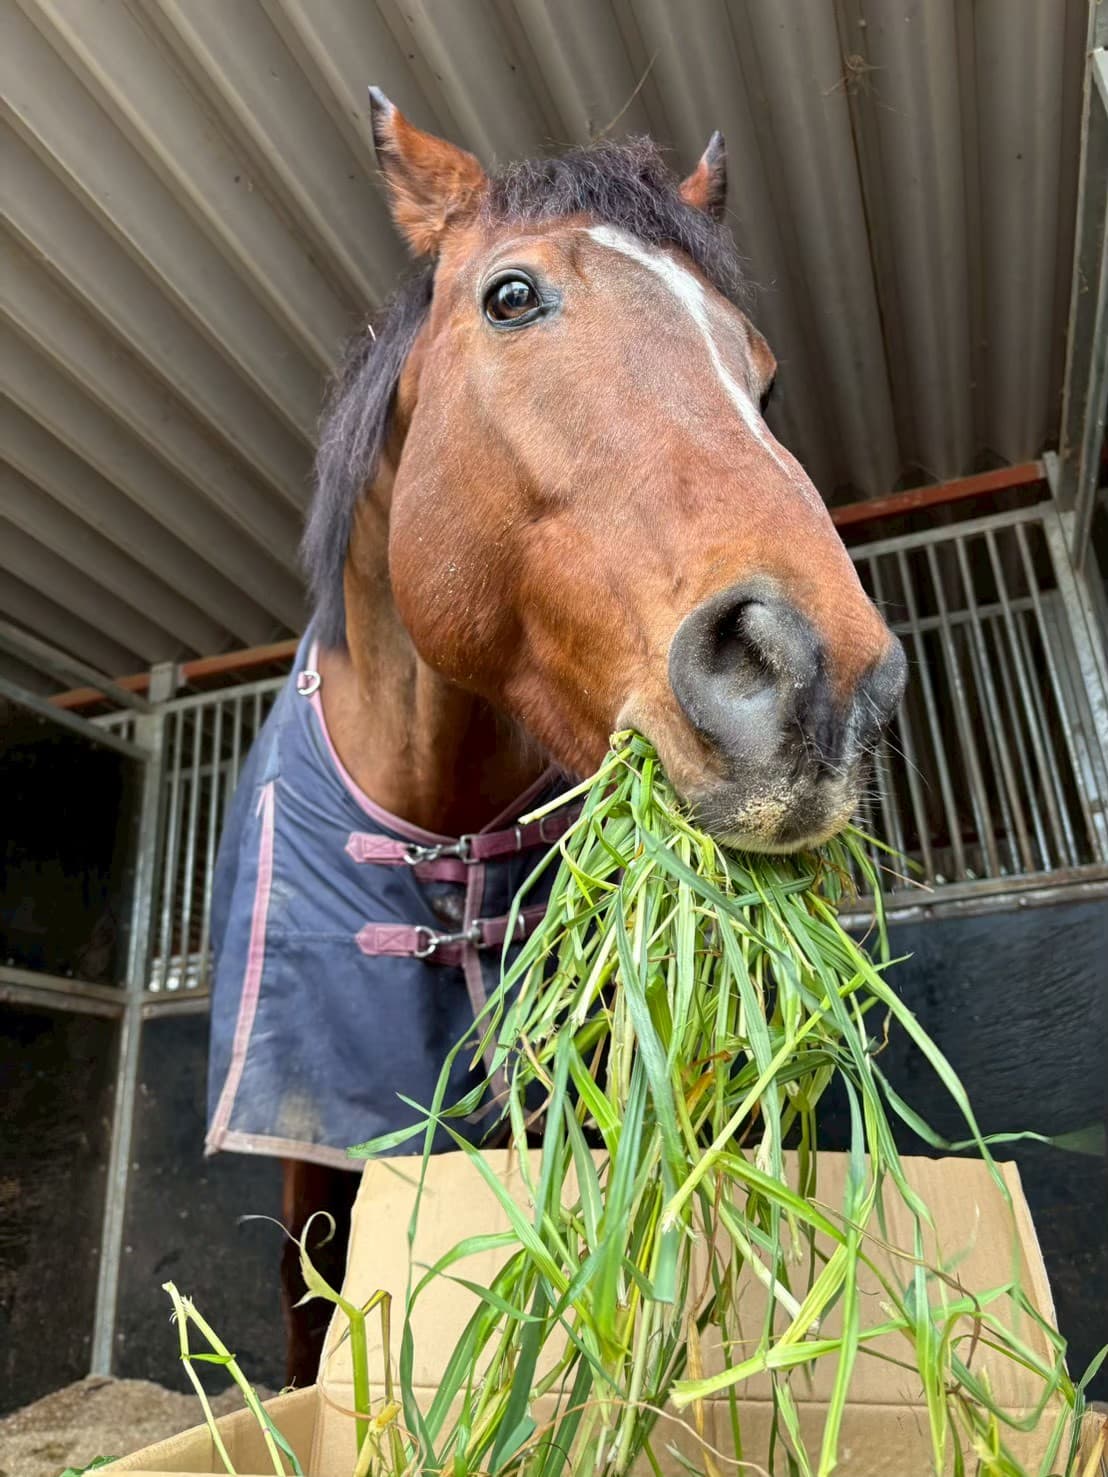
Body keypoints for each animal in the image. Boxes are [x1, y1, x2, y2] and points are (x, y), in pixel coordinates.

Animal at [205, 91, 906, 1385]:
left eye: (764, 376)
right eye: (512, 296)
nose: (820, 678)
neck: (429, 818)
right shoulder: (309, 1121)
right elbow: (308, 1298)